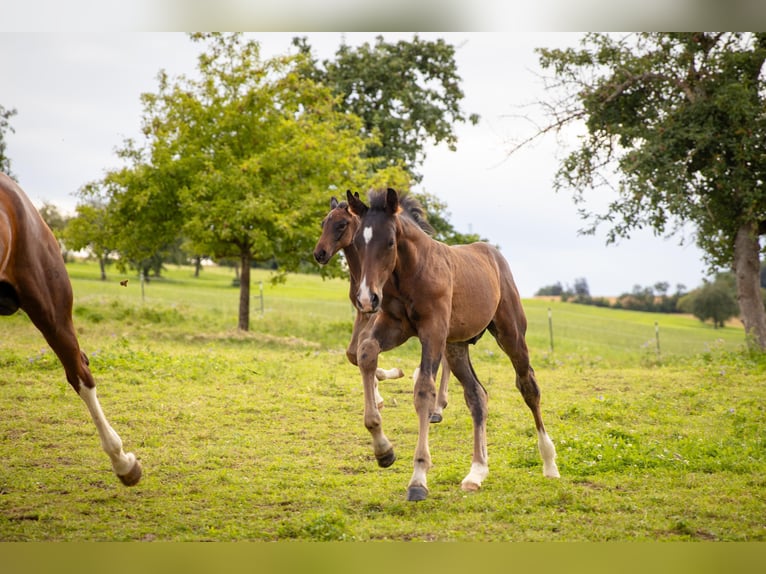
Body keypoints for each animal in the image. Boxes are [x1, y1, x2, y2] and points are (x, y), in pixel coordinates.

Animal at [316, 196, 452, 426]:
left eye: (341, 224)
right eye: (323, 223)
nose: (319, 254)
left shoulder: (377, 314)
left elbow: (361, 350)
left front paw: (383, 387)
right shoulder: (362, 312)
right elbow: (353, 353)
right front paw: (380, 389)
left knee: (445, 360)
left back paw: (437, 408)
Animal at [348, 190, 560, 504]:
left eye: (389, 243)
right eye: (358, 243)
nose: (366, 298)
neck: (411, 272)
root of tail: (494, 255)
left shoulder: (432, 331)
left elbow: (424, 389)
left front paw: (418, 478)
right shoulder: (394, 327)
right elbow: (365, 355)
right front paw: (384, 450)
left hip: (511, 336)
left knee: (528, 386)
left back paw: (549, 463)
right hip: (456, 346)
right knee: (477, 396)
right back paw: (476, 473)